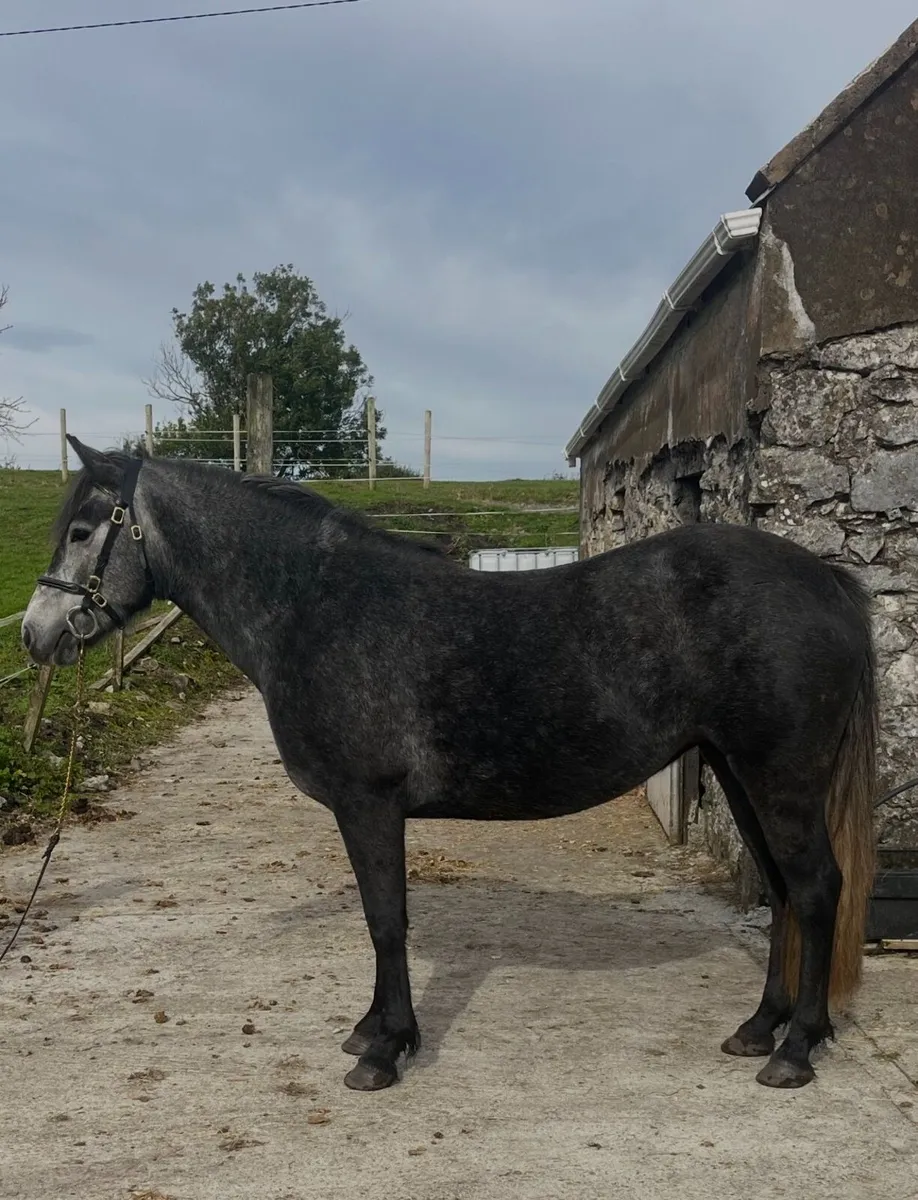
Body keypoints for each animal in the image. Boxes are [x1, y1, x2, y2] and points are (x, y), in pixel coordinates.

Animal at [21, 437, 877, 1093]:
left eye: (85, 529)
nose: (35, 634)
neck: (315, 608)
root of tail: (825, 579)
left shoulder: (368, 802)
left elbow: (386, 920)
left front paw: (384, 1050)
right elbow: (383, 921)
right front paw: (372, 1029)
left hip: (780, 779)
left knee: (814, 889)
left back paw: (797, 1050)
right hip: (738, 772)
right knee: (780, 890)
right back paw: (759, 1028)